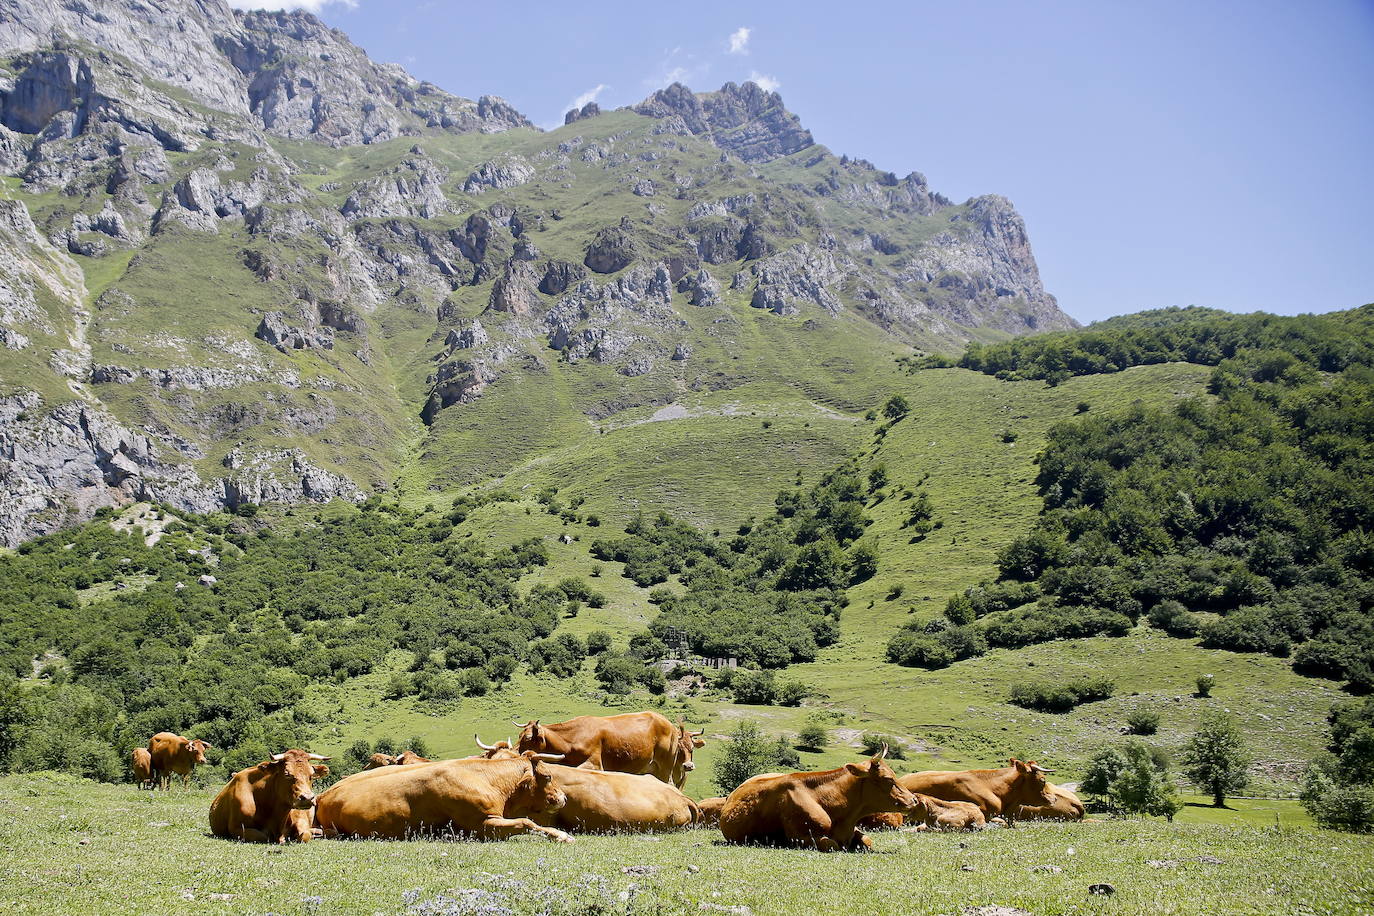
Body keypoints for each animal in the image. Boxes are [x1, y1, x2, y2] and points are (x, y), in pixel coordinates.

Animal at [317, 758, 574, 840]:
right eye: (548, 776)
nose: (563, 797)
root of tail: (324, 794)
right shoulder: (481, 824)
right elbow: (526, 822)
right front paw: (561, 835)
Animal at [516, 708, 708, 791]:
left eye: (527, 738)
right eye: (519, 735)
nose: (516, 751)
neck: (571, 737)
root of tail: (668, 723)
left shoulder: (594, 764)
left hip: (665, 766)